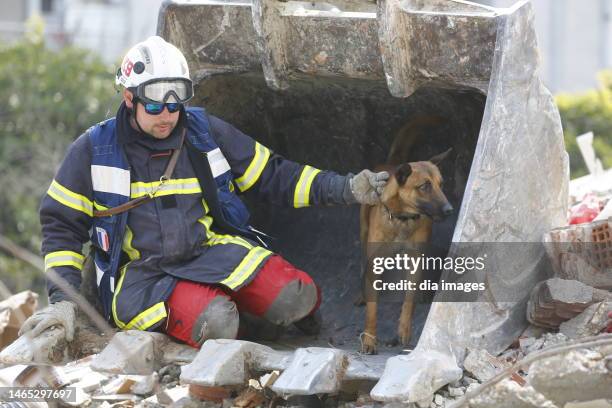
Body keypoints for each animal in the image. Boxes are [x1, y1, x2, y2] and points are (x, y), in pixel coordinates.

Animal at [358, 147, 454, 354]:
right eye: (424, 186)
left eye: (441, 184)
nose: (449, 209)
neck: (402, 218)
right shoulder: (375, 263)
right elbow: (372, 310)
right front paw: (369, 339)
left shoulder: (415, 258)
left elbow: (409, 300)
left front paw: (404, 329)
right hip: (363, 233)